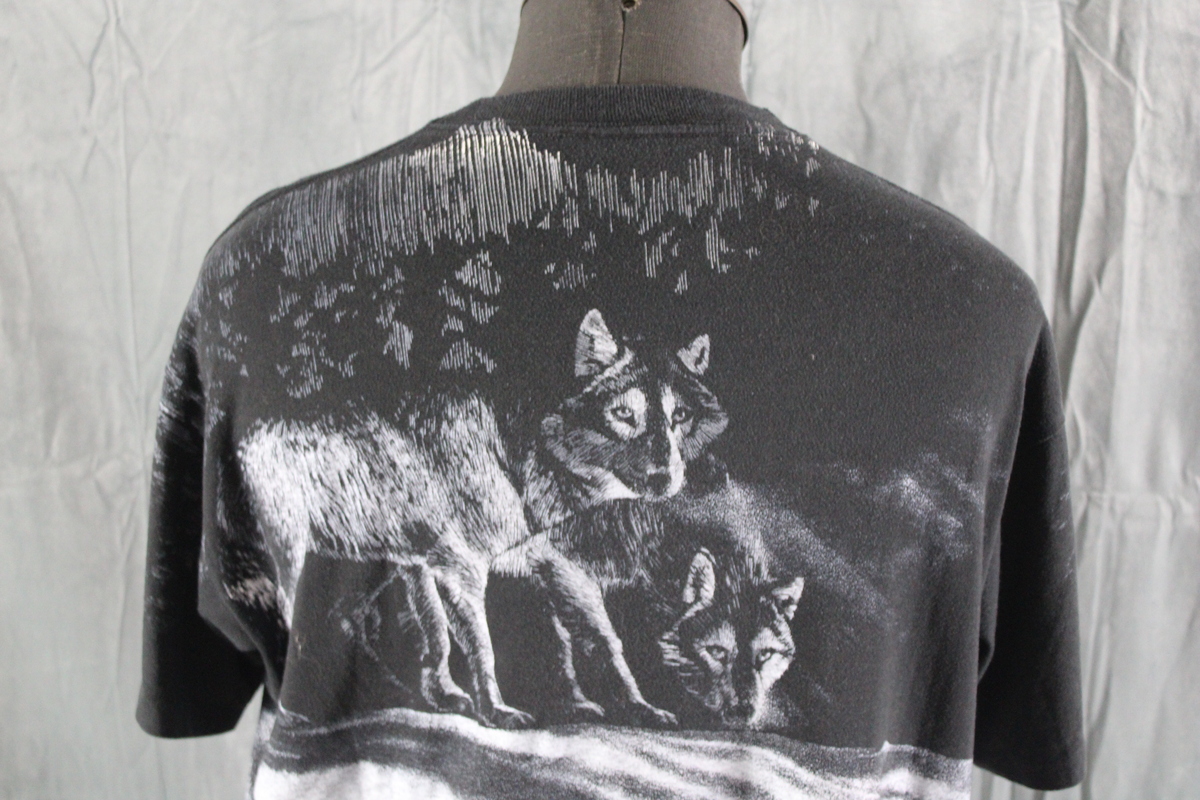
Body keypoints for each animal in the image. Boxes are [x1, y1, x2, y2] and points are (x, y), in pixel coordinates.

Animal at [235, 309, 727, 729]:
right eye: (623, 414)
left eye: (680, 416)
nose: (666, 477)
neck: (515, 455)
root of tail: (247, 439)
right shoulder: (463, 569)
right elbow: (486, 647)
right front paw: (496, 712)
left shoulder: (532, 569)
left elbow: (582, 643)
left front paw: (617, 707)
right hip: (298, 566)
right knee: (301, 632)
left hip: (372, 566)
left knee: (343, 620)